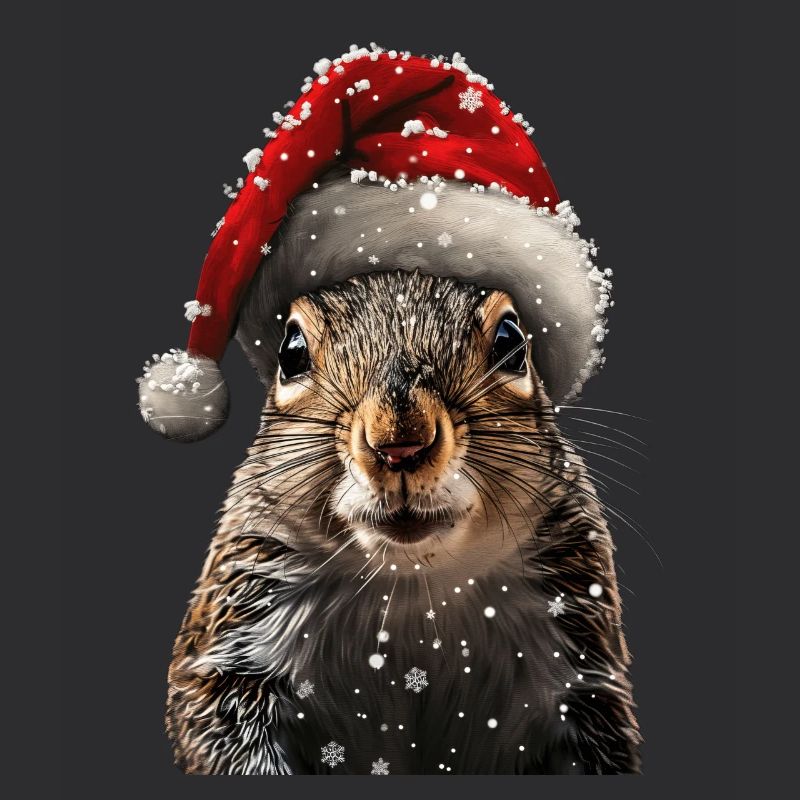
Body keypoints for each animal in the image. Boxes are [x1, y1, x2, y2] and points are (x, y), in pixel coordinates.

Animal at [165, 268, 641, 774]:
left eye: (511, 341)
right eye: (290, 352)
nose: (399, 443)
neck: (416, 586)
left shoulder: (582, 664)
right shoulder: (238, 643)